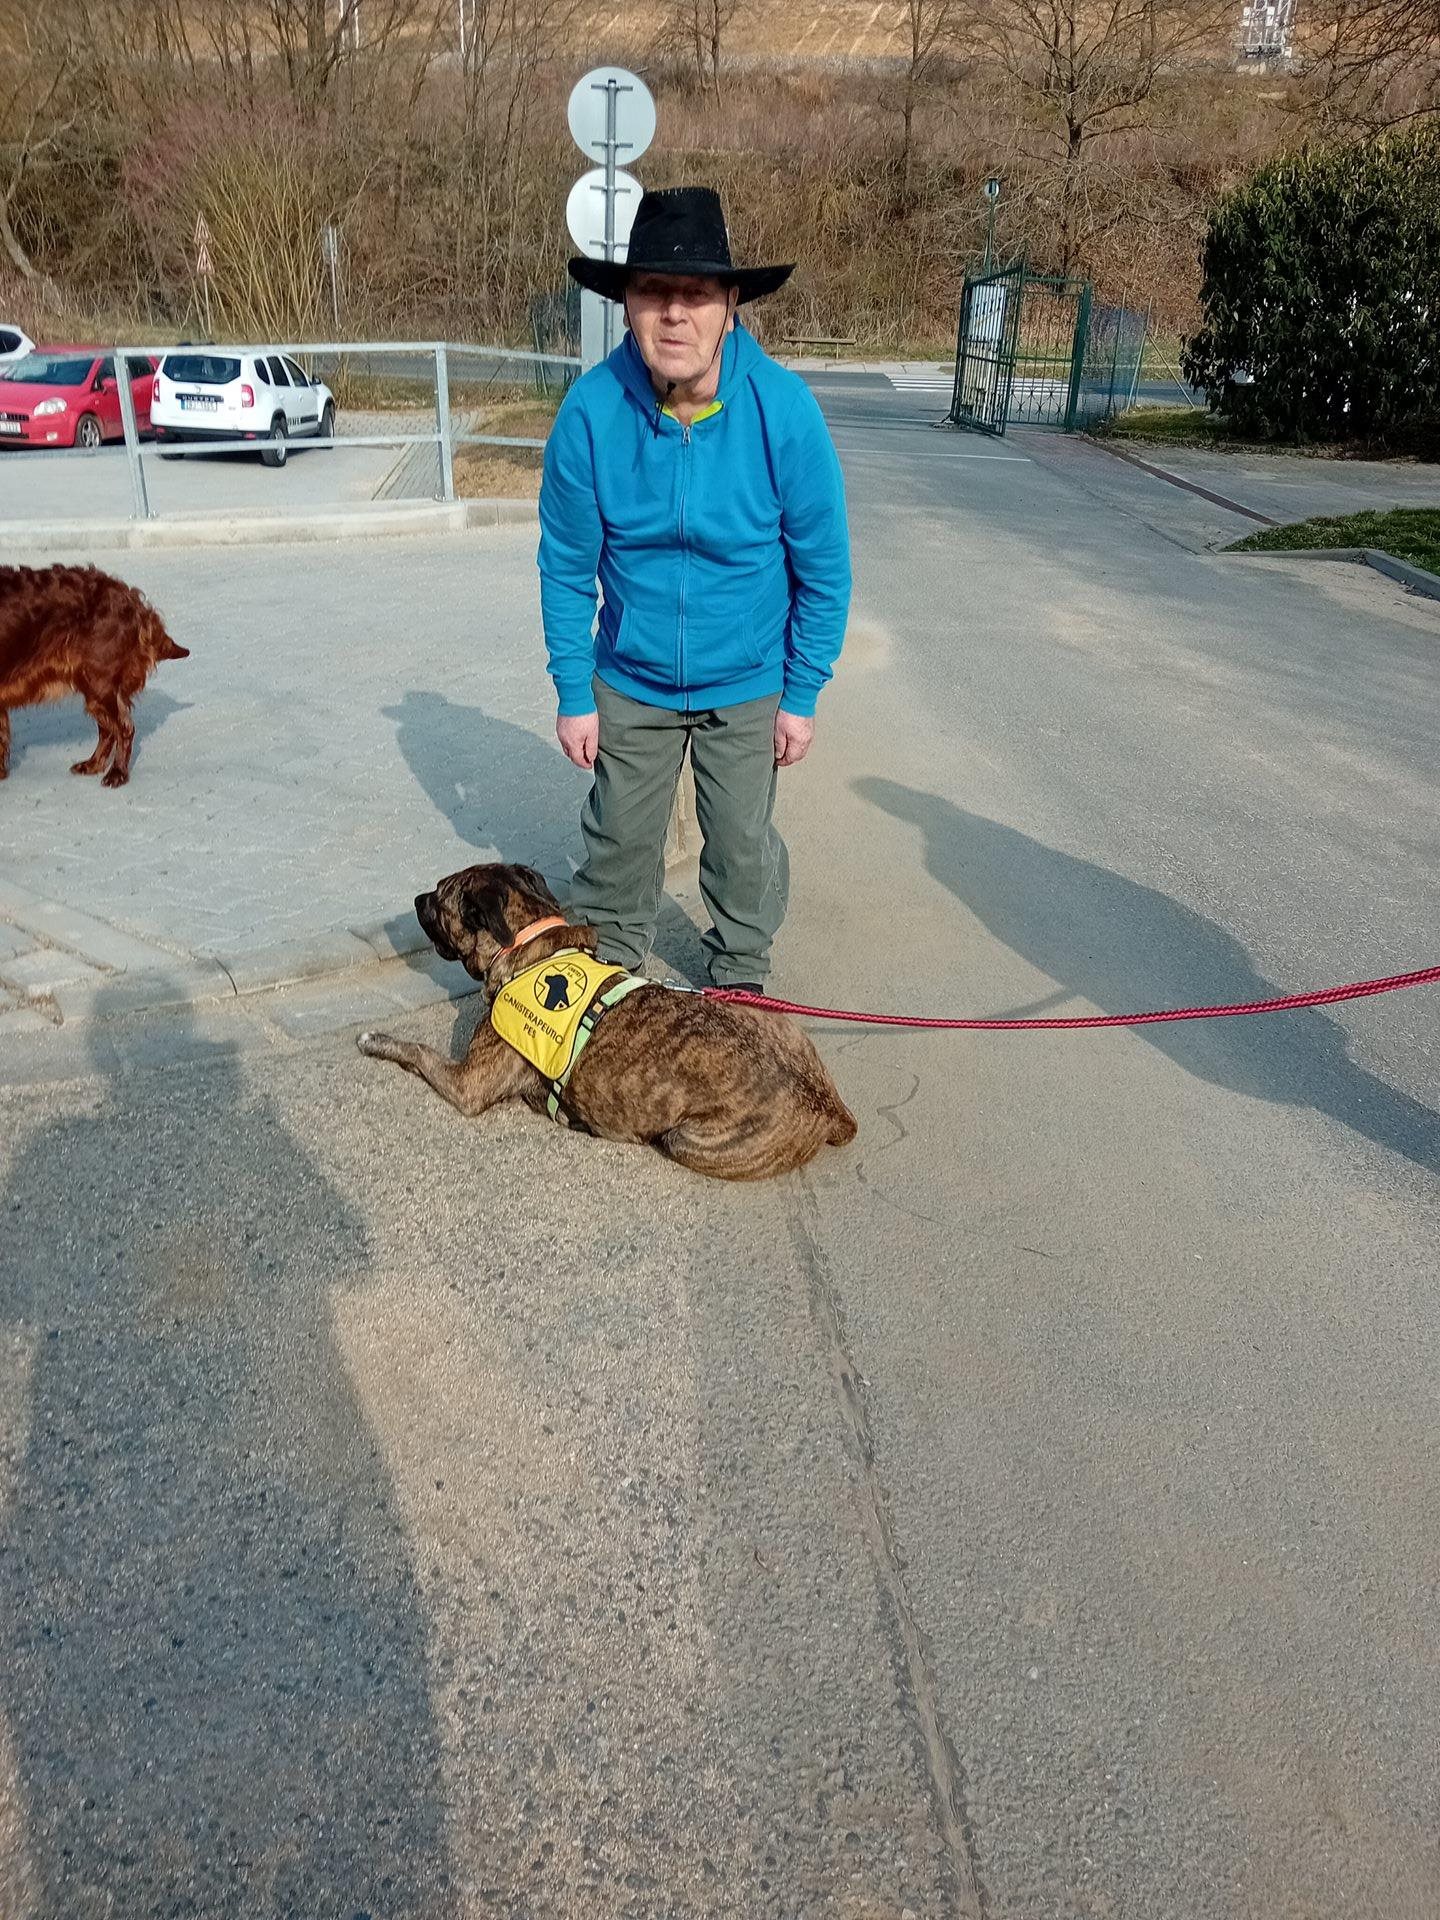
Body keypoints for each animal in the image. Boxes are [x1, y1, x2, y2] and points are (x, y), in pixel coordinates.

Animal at [0, 563, 188, 788]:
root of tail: (130, 598)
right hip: (92, 684)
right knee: (108, 729)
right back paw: (93, 764)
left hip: (99, 681)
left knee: (124, 728)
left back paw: (117, 774)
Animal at [358, 862, 858, 1181]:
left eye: (438, 899)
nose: (415, 899)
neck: (526, 940)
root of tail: (829, 1107)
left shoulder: (468, 1085)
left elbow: (415, 1050)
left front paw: (374, 1040)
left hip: (686, 1138)